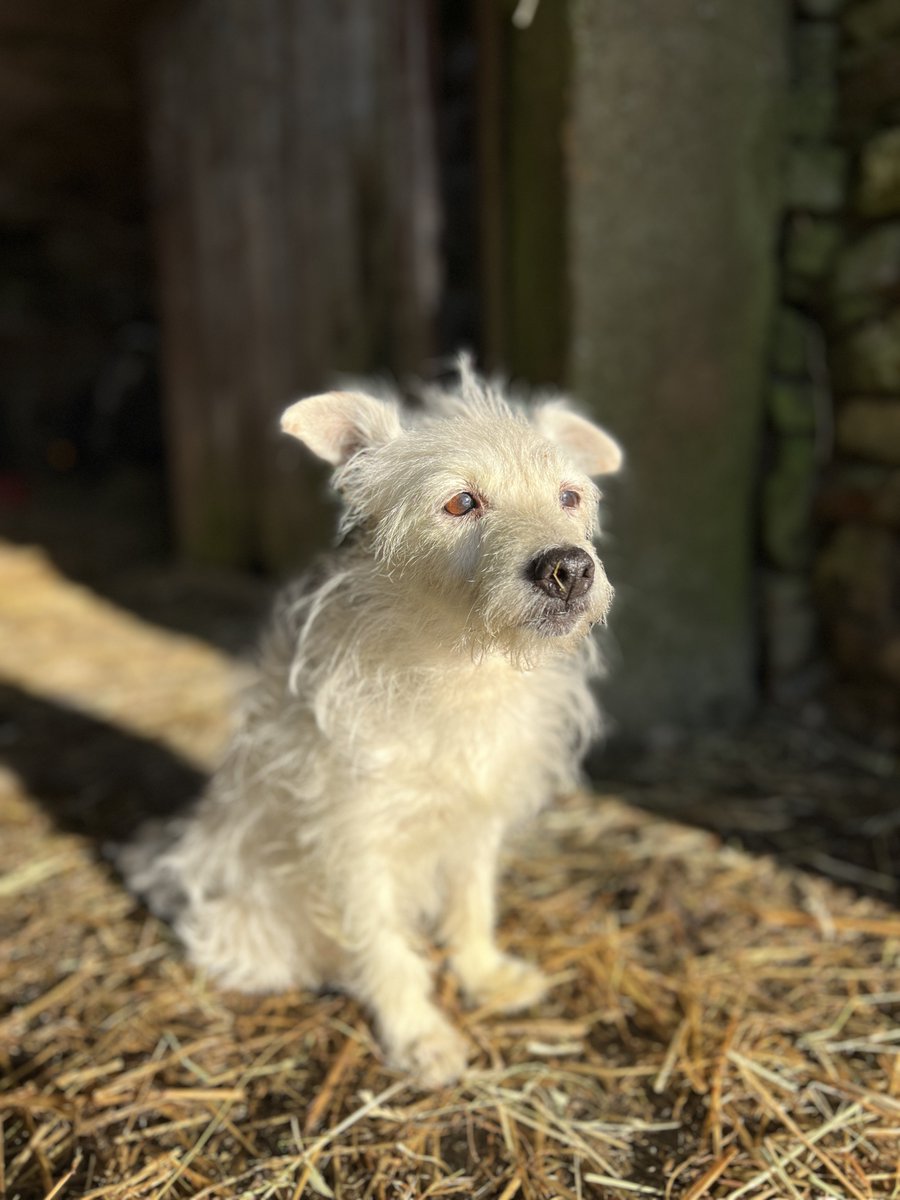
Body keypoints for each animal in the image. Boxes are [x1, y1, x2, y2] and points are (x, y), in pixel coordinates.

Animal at [123, 360, 624, 1084]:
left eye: (569, 496)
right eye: (461, 503)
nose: (570, 568)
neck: (463, 663)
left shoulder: (476, 821)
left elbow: (472, 906)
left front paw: (484, 976)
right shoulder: (356, 840)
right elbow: (384, 944)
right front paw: (419, 1035)